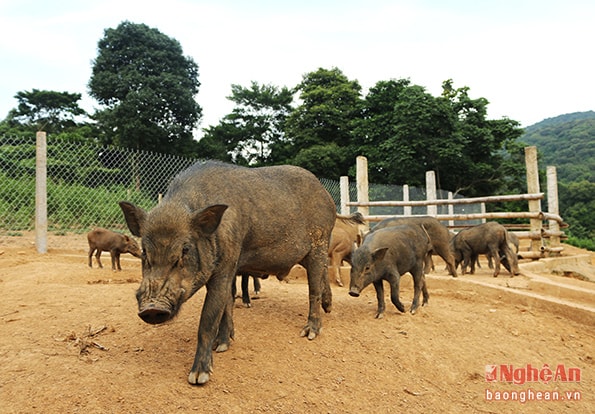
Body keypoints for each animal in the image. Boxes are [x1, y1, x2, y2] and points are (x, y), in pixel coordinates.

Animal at [118, 161, 338, 384]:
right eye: (144, 251)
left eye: (185, 249)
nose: (151, 308)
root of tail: (327, 195)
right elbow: (227, 304)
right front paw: (222, 345)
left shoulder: (226, 266)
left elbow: (208, 319)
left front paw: (198, 377)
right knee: (323, 274)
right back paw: (328, 308)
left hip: (319, 242)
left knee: (314, 287)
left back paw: (310, 333)